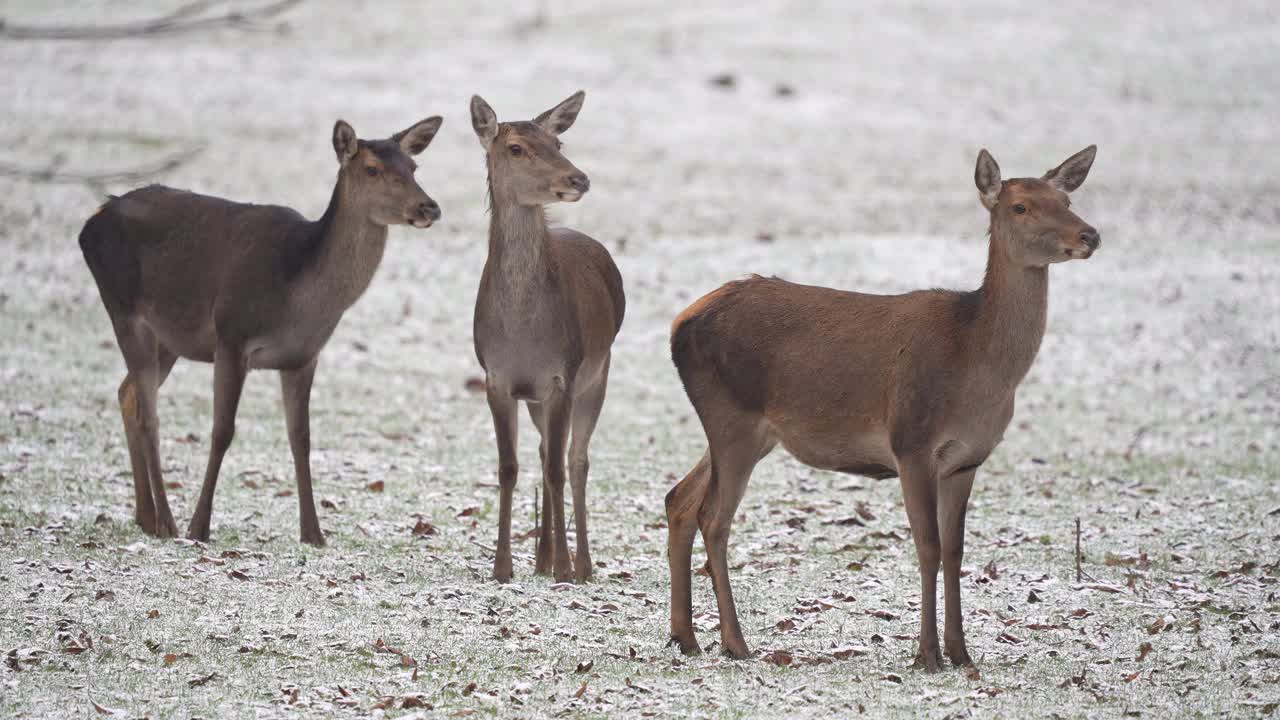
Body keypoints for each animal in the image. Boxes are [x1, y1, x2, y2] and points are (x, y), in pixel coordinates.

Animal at [82, 116, 445, 543]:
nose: (429, 206)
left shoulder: (303, 357)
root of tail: (94, 218)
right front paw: (199, 527)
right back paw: (168, 522)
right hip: (122, 307)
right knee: (148, 415)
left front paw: (313, 534)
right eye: (372, 169)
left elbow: (301, 438)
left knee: (127, 394)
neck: (296, 295)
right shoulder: (231, 334)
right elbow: (222, 430)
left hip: (168, 336)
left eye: (414, 167)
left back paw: (145, 516)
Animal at [473, 90, 627, 584]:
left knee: (575, 461)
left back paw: (581, 565)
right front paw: (503, 567)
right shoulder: (498, 379)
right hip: (539, 398)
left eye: (558, 142)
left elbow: (560, 470)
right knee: (544, 452)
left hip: (597, 375)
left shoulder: (562, 376)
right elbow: (509, 466)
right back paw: (540, 559)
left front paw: (564, 568)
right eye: (515, 147)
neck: (523, 332)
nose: (577, 178)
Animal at [665, 144, 1095, 666]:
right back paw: (735, 642)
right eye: (1020, 206)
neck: (975, 361)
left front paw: (961, 652)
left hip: (748, 431)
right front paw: (927, 655)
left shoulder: (966, 459)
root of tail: (678, 324)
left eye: (1066, 201)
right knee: (713, 517)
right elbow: (927, 546)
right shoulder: (911, 441)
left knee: (679, 500)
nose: (1089, 234)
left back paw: (685, 637)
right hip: (733, 419)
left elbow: (955, 550)